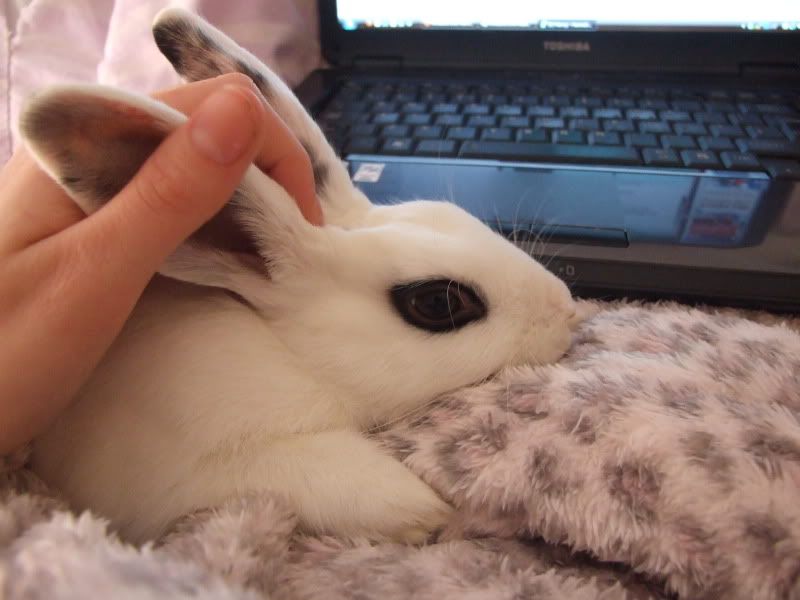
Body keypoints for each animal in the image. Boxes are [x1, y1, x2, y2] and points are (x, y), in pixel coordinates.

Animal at [20, 8, 580, 545]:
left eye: (452, 212)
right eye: (439, 303)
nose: (568, 312)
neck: (292, 358)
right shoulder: (186, 474)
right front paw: (424, 511)